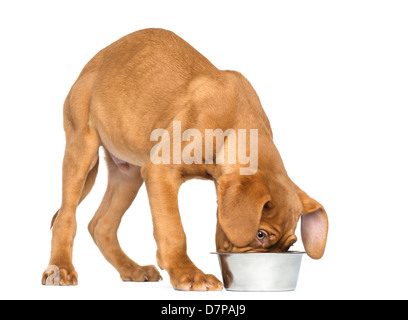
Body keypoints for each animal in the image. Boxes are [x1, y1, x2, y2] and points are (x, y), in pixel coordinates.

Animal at [42, 28, 328, 292]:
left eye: (291, 245)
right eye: (260, 234)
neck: (234, 124)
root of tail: (91, 64)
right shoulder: (160, 172)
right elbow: (173, 231)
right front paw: (188, 273)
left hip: (128, 173)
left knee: (100, 225)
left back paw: (132, 269)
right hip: (82, 151)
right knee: (66, 217)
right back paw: (60, 268)